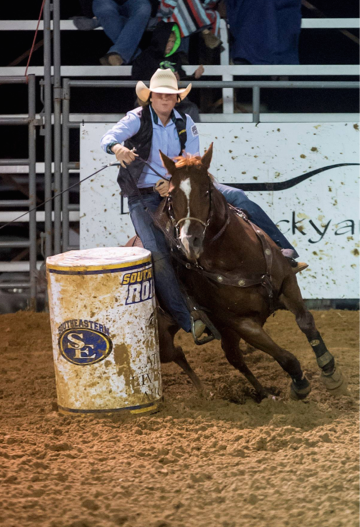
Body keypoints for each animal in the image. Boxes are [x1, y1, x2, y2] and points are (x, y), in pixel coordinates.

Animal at [150, 144, 346, 400]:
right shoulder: (241, 323)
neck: (239, 258)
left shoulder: (287, 284)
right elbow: (285, 356)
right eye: (172, 197)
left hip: (223, 332)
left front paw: (330, 371)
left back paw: (261, 392)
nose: (189, 243)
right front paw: (300, 385)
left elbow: (306, 322)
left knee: (232, 358)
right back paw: (206, 392)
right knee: (179, 353)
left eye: (206, 191)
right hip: (164, 340)